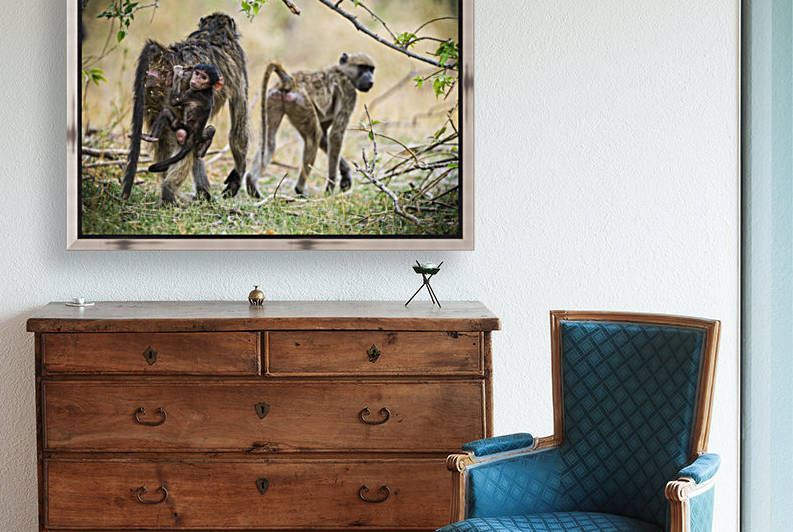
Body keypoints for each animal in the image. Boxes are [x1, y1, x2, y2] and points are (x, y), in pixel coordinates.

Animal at [122, 13, 249, 204]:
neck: (214, 31)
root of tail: (167, 54)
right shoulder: (240, 63)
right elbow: (238, 127)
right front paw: (237, 178)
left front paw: (203, 194)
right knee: (185, 142)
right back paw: (169, 191)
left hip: (152, 92)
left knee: (168, 138)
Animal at [244, 52, 375, 198]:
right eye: (362, 67)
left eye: (371, 69)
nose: (371, 80)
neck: (343, 72)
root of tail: (290, 81)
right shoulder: (349, 93)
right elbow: (335, 135)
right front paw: (330, 187)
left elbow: (324, 137)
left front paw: (345, 174)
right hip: (301, 103)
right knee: (313, 138)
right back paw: (300, 189)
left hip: (273, 99)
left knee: (269, 142)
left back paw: (251, 184)